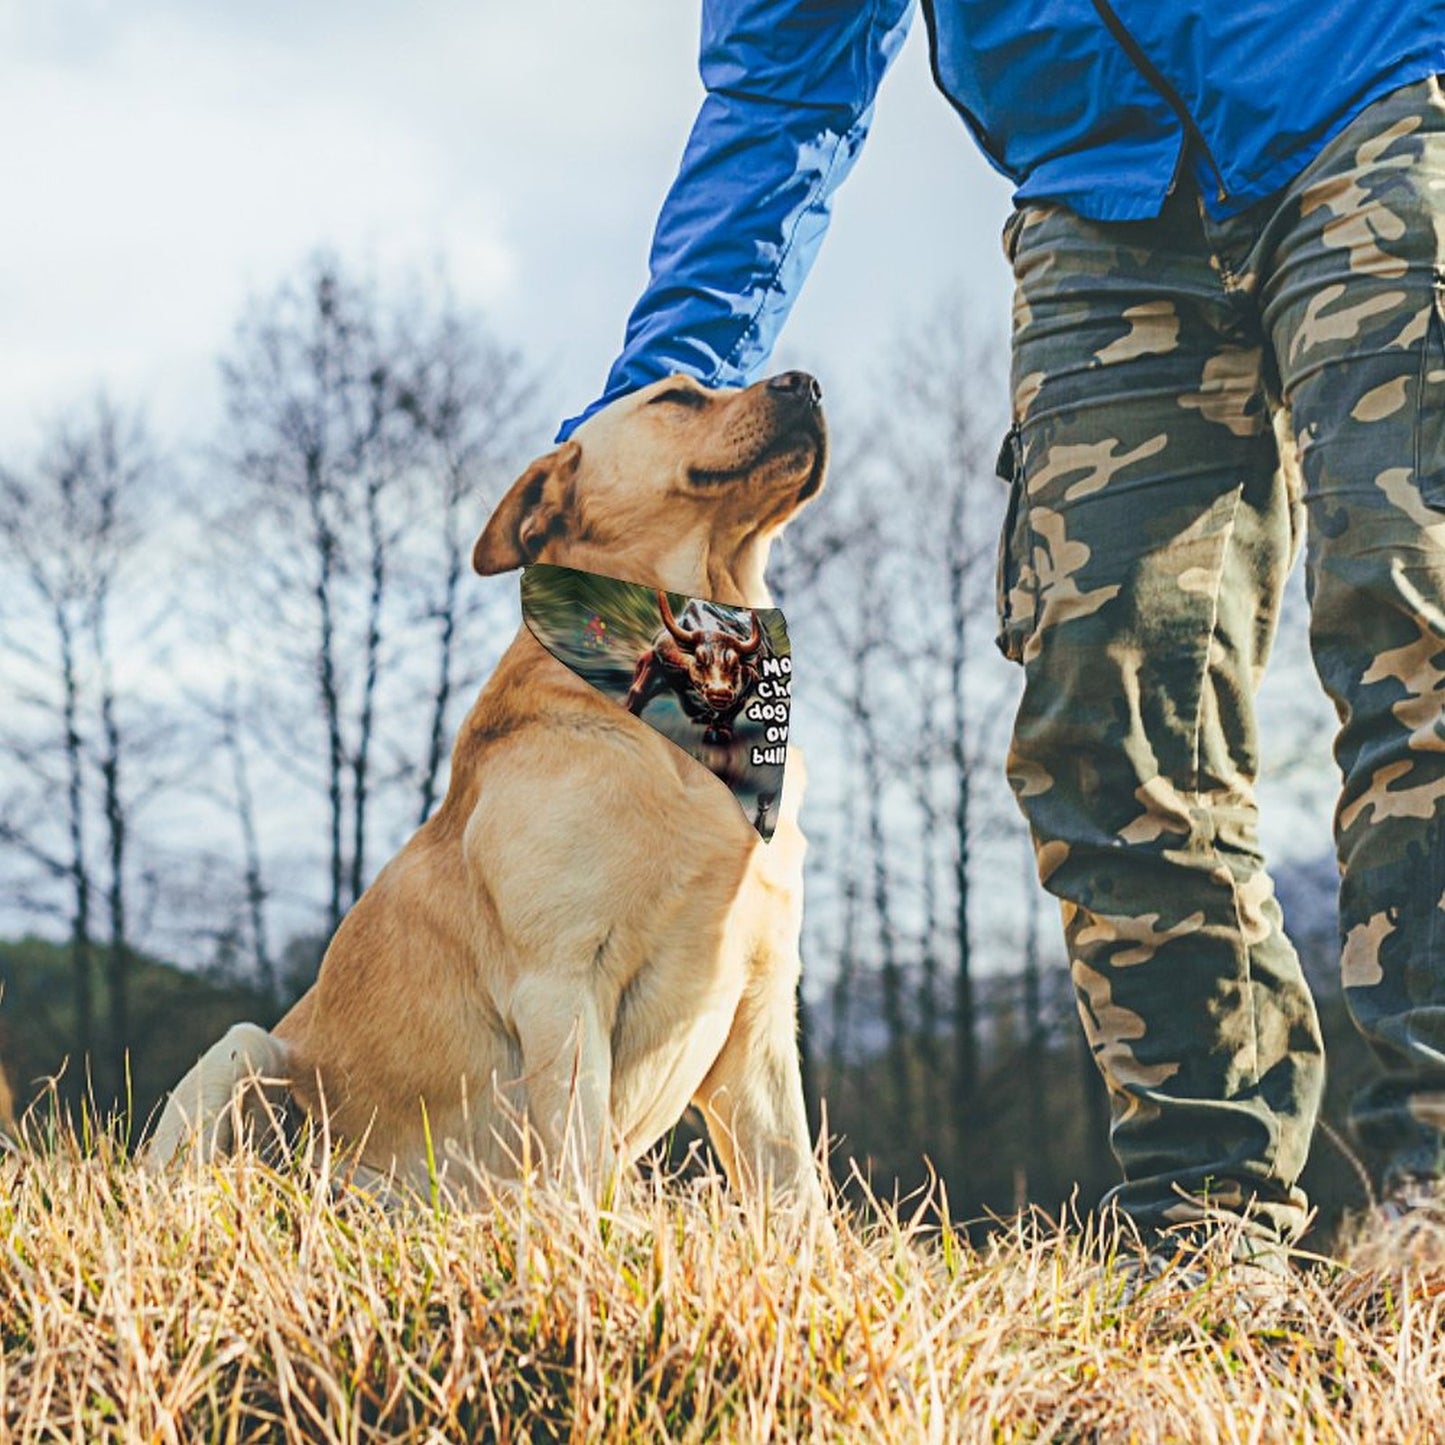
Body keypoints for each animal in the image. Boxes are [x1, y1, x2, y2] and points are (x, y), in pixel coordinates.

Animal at [148, 372, 832, 1208]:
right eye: (675, 397)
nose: (806, 383)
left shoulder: (760, 1003)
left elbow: (797, 1192)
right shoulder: (561, 982)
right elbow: (582, 1165)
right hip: (244, 1052)